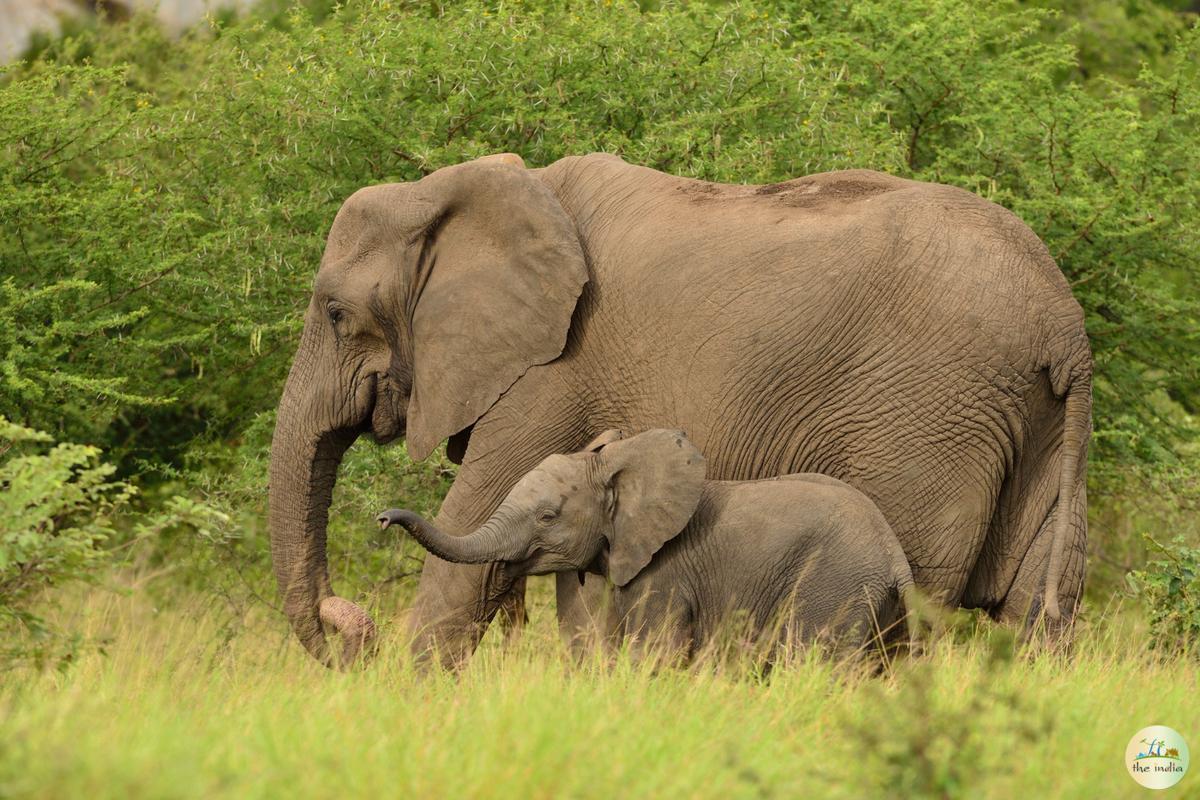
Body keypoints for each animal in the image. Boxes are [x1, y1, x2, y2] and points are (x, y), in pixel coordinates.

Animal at [379, 431, 912, 662]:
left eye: (548, 517)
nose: (383, 518)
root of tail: (892, 553)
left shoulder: (666, 572)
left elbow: (654, 652)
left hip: (833, 585)